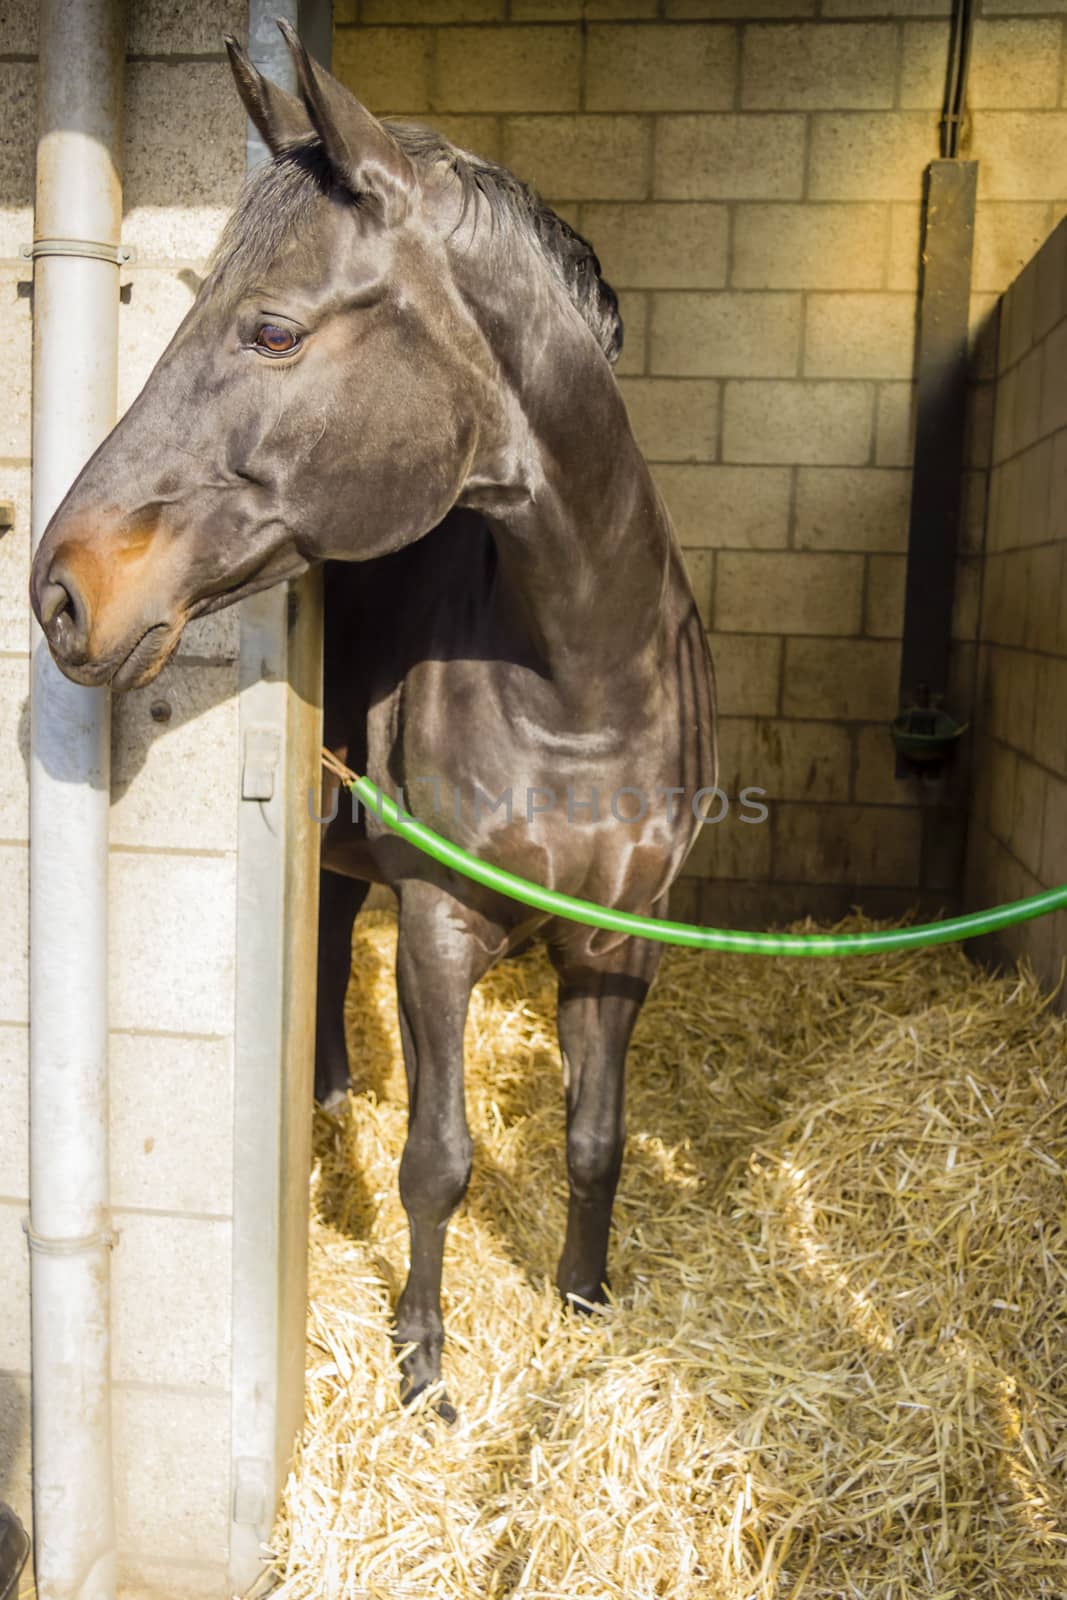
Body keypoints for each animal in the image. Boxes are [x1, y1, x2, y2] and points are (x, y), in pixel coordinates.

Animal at [31, 28, 716, 1414]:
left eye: (272, 329)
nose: (61, 588)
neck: (581, 684)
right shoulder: (442, 930)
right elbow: (438, 1158)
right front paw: (422, 1364)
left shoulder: (621, 936)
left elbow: (595, 1134)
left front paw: (582, 1300)